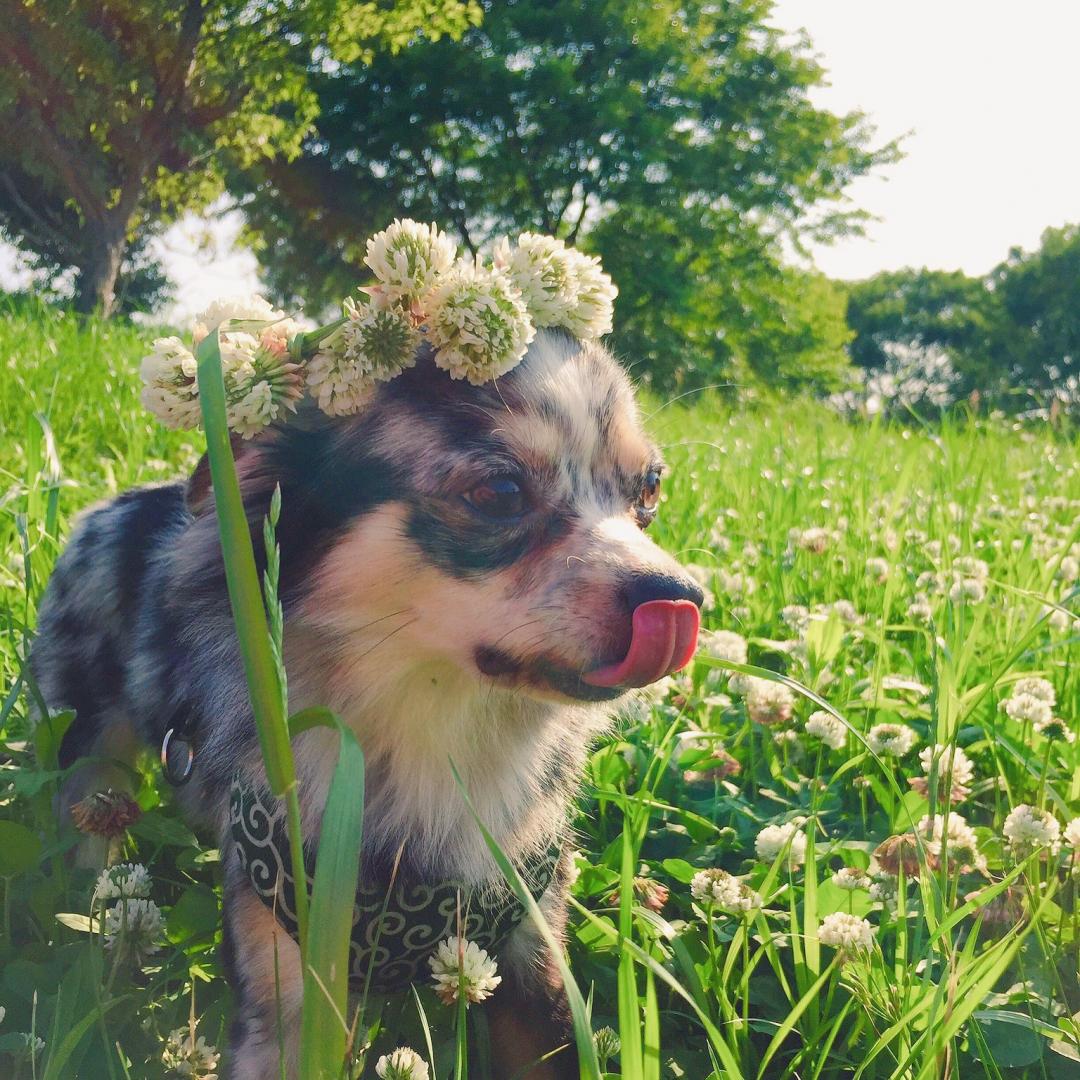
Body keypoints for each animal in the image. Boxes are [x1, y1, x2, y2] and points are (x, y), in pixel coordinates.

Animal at [31, 330, 699, 1080]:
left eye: (650, 489)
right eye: (499, 492)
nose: (680, 596)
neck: (435, 738)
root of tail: (112, 508)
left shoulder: (532, 958)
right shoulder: (288, 984)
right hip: (86, 756)